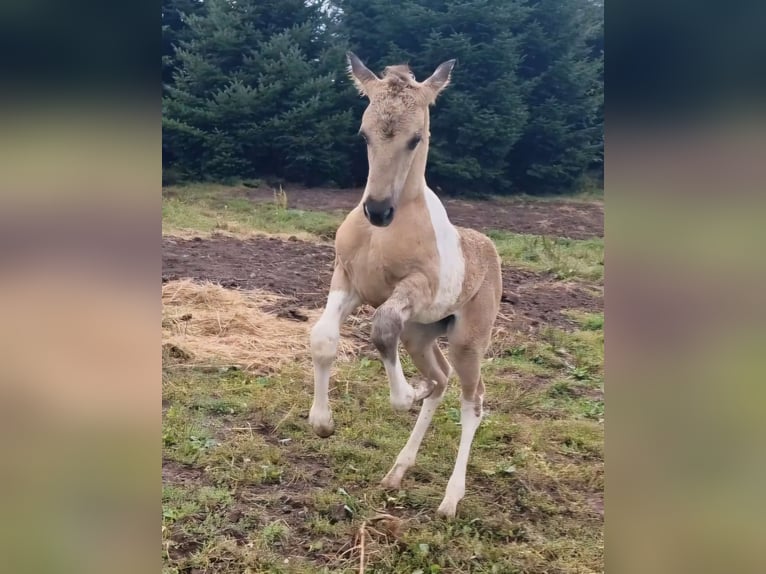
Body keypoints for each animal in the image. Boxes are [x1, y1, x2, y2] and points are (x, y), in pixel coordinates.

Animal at [308, 54, 508, 520]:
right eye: (363, 134)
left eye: (416, 138)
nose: (378, 210)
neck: (385, 234)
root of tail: (489, 246)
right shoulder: (348, 279)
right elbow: (323, 338)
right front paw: (322, 422)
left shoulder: (415, 287)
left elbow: (382, 329)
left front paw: (405, 395)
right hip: (421, 333)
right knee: (442, 379)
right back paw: (398, 470)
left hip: (468, 340)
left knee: (473, 400)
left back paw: (450, 499)